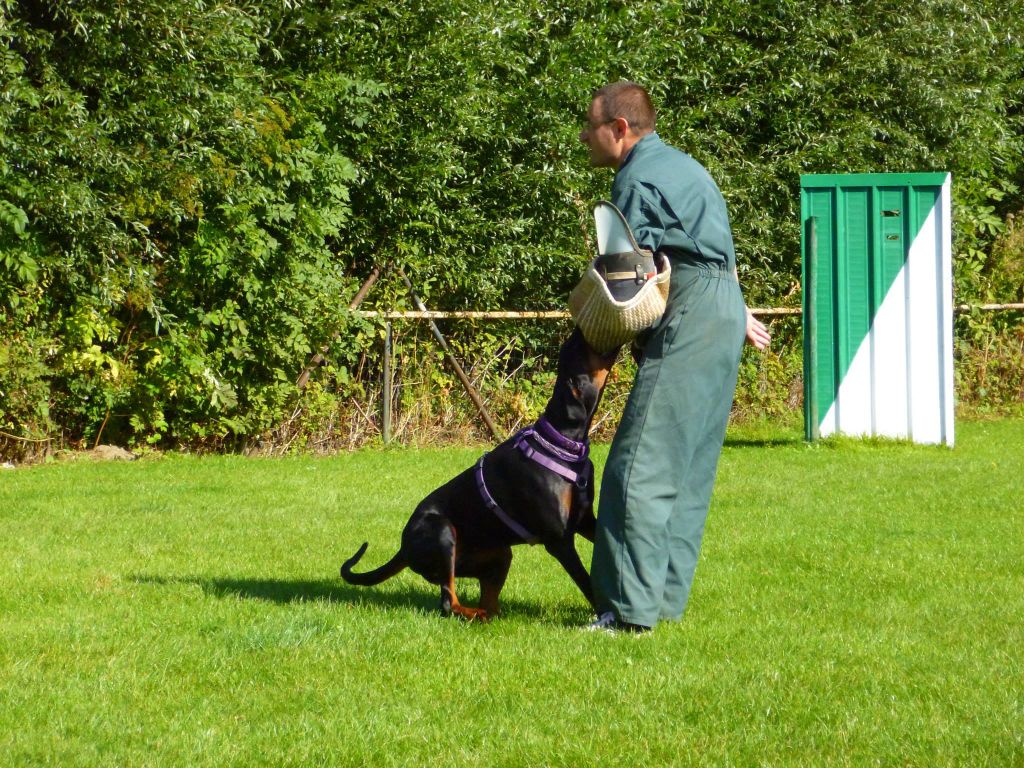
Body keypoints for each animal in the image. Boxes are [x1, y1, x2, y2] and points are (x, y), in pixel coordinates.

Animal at [339, 327, 618, 622]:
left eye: (570, 346)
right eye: (579, 348)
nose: (577, 330)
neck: (560, 443)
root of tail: (404, 548)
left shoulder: (585, 520)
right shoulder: (559, 539)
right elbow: (586, 580)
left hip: (498, 554)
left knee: (488, 602)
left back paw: (490, 615)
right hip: (442, 532)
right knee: (448, 602)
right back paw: (472, 613)